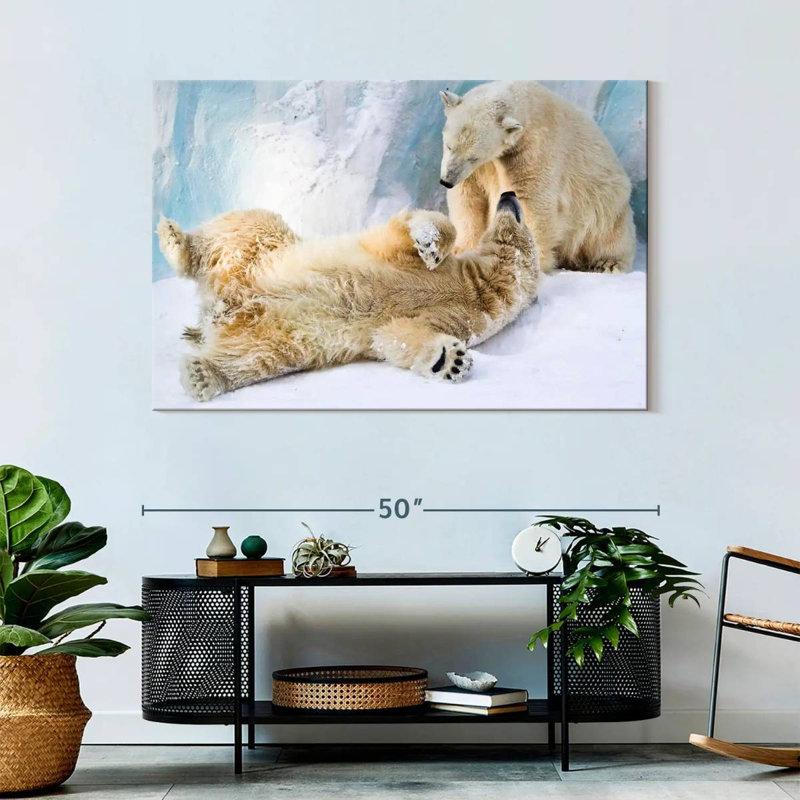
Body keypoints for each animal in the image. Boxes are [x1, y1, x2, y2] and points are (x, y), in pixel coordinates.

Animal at [157, 192, 540, 401]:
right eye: (520, 213)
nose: (509, 194)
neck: (480, 287)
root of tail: (221, 304)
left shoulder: (461, 317)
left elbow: (396, 335)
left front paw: (450, 360)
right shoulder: (411, 262)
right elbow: (409, 235)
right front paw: (430, 243)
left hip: (278, 334)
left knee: (254, 358)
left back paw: (203, 373)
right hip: (261, 252)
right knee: (248, 224)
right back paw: (176, 240)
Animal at [439, 81, 636, 274]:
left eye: (474, 157)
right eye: (449, 146)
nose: (446, 181)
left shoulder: (535, 149)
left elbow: (531, 199)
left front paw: (529, 260)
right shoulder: (480, 169)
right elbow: (468, 198)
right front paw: (461, 250)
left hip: (605, 205)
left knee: (609, 235)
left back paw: (607, 263)